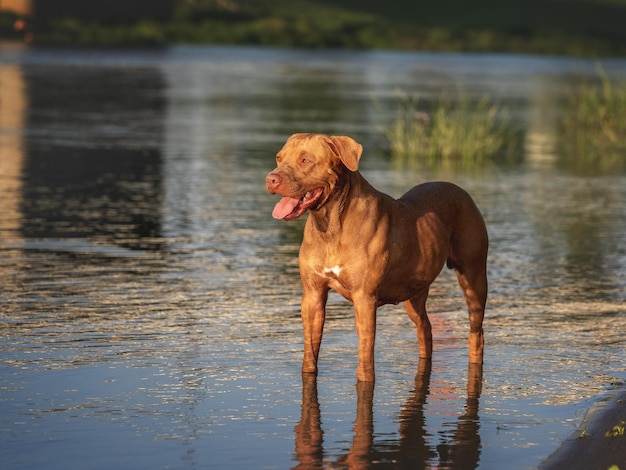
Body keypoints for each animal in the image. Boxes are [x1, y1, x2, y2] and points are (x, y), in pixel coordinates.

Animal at [264, 133, 488, 382]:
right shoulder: (313, 294)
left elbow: (365, 354)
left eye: (305, 160)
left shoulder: (365, 297)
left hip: (473, 278)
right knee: (425, 327)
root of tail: (460, 190)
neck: (330, 224)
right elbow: (310, 355)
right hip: (415, 292)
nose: (271, 179)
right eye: (279, 157)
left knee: (476, 331)